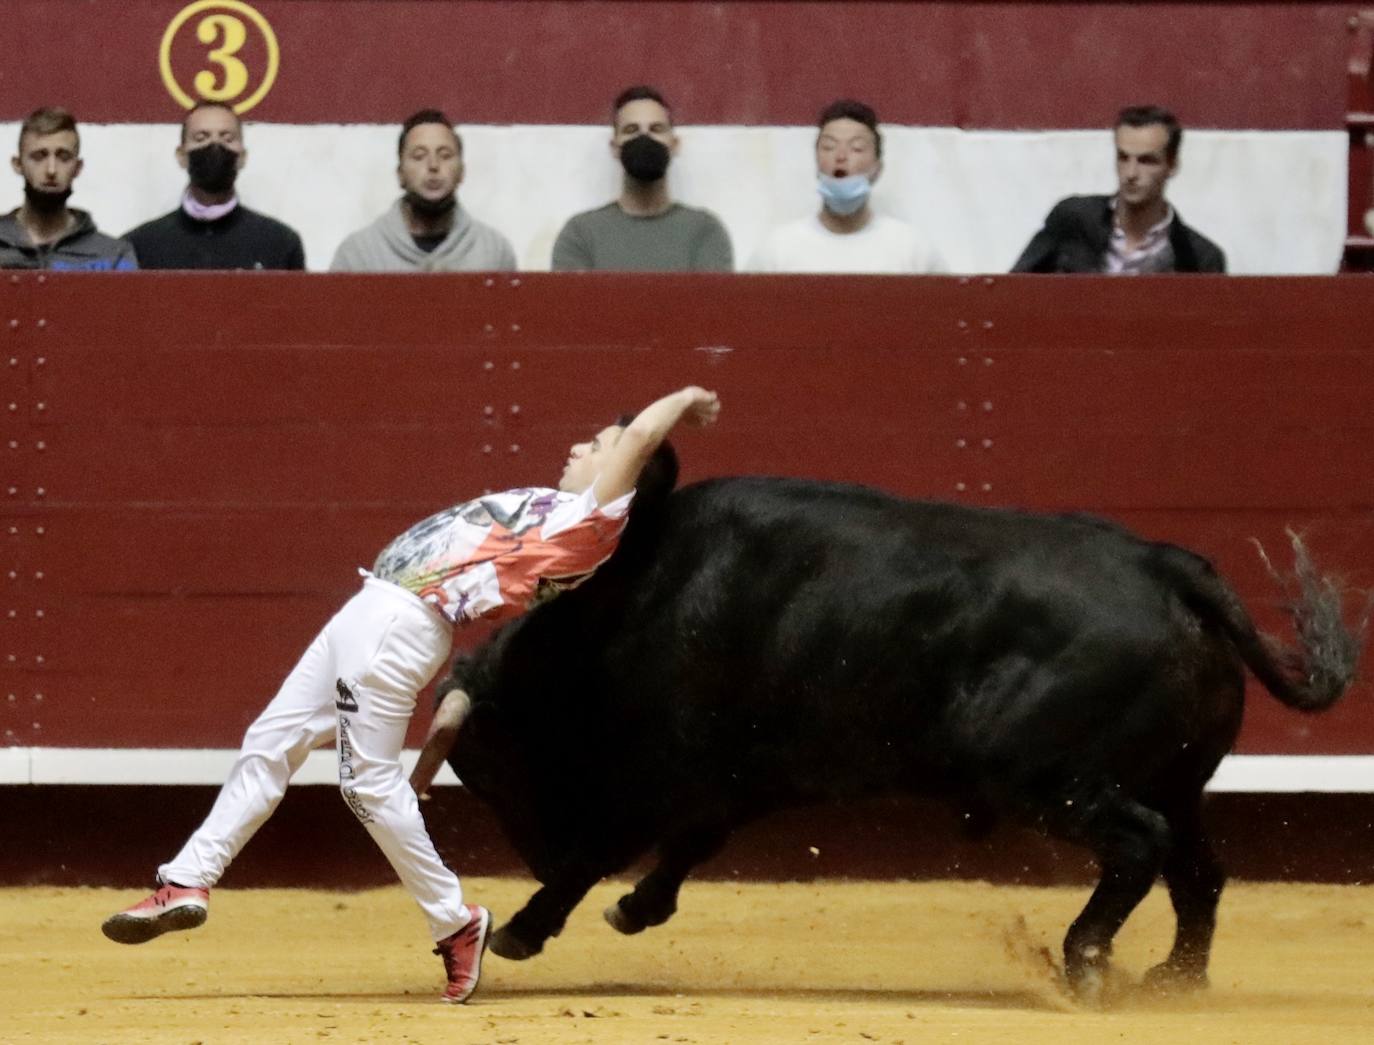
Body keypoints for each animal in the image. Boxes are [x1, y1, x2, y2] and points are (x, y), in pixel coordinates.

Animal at [442, 477, 1363, 988]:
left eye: (489, 766)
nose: (531, 855)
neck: (628, 609)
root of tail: (1170, 567)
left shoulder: (663, 773)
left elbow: (602, 851)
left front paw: (523, 929)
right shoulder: (745, 774)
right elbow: (688, 845)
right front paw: (635, 908)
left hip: (1046, 778)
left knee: (1140, 846)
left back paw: (1087, 960)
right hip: (1178, 779)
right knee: (1198, 870)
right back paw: (1175, 980)